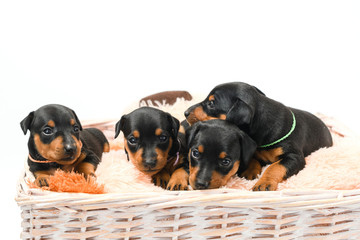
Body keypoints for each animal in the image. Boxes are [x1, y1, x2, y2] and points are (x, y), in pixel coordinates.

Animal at [184, 82, 334, 191]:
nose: (185, 112)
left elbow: (275, 166)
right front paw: (249, 172)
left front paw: (264, 183)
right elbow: (253, 158)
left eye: (211, 103)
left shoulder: (295, 157)